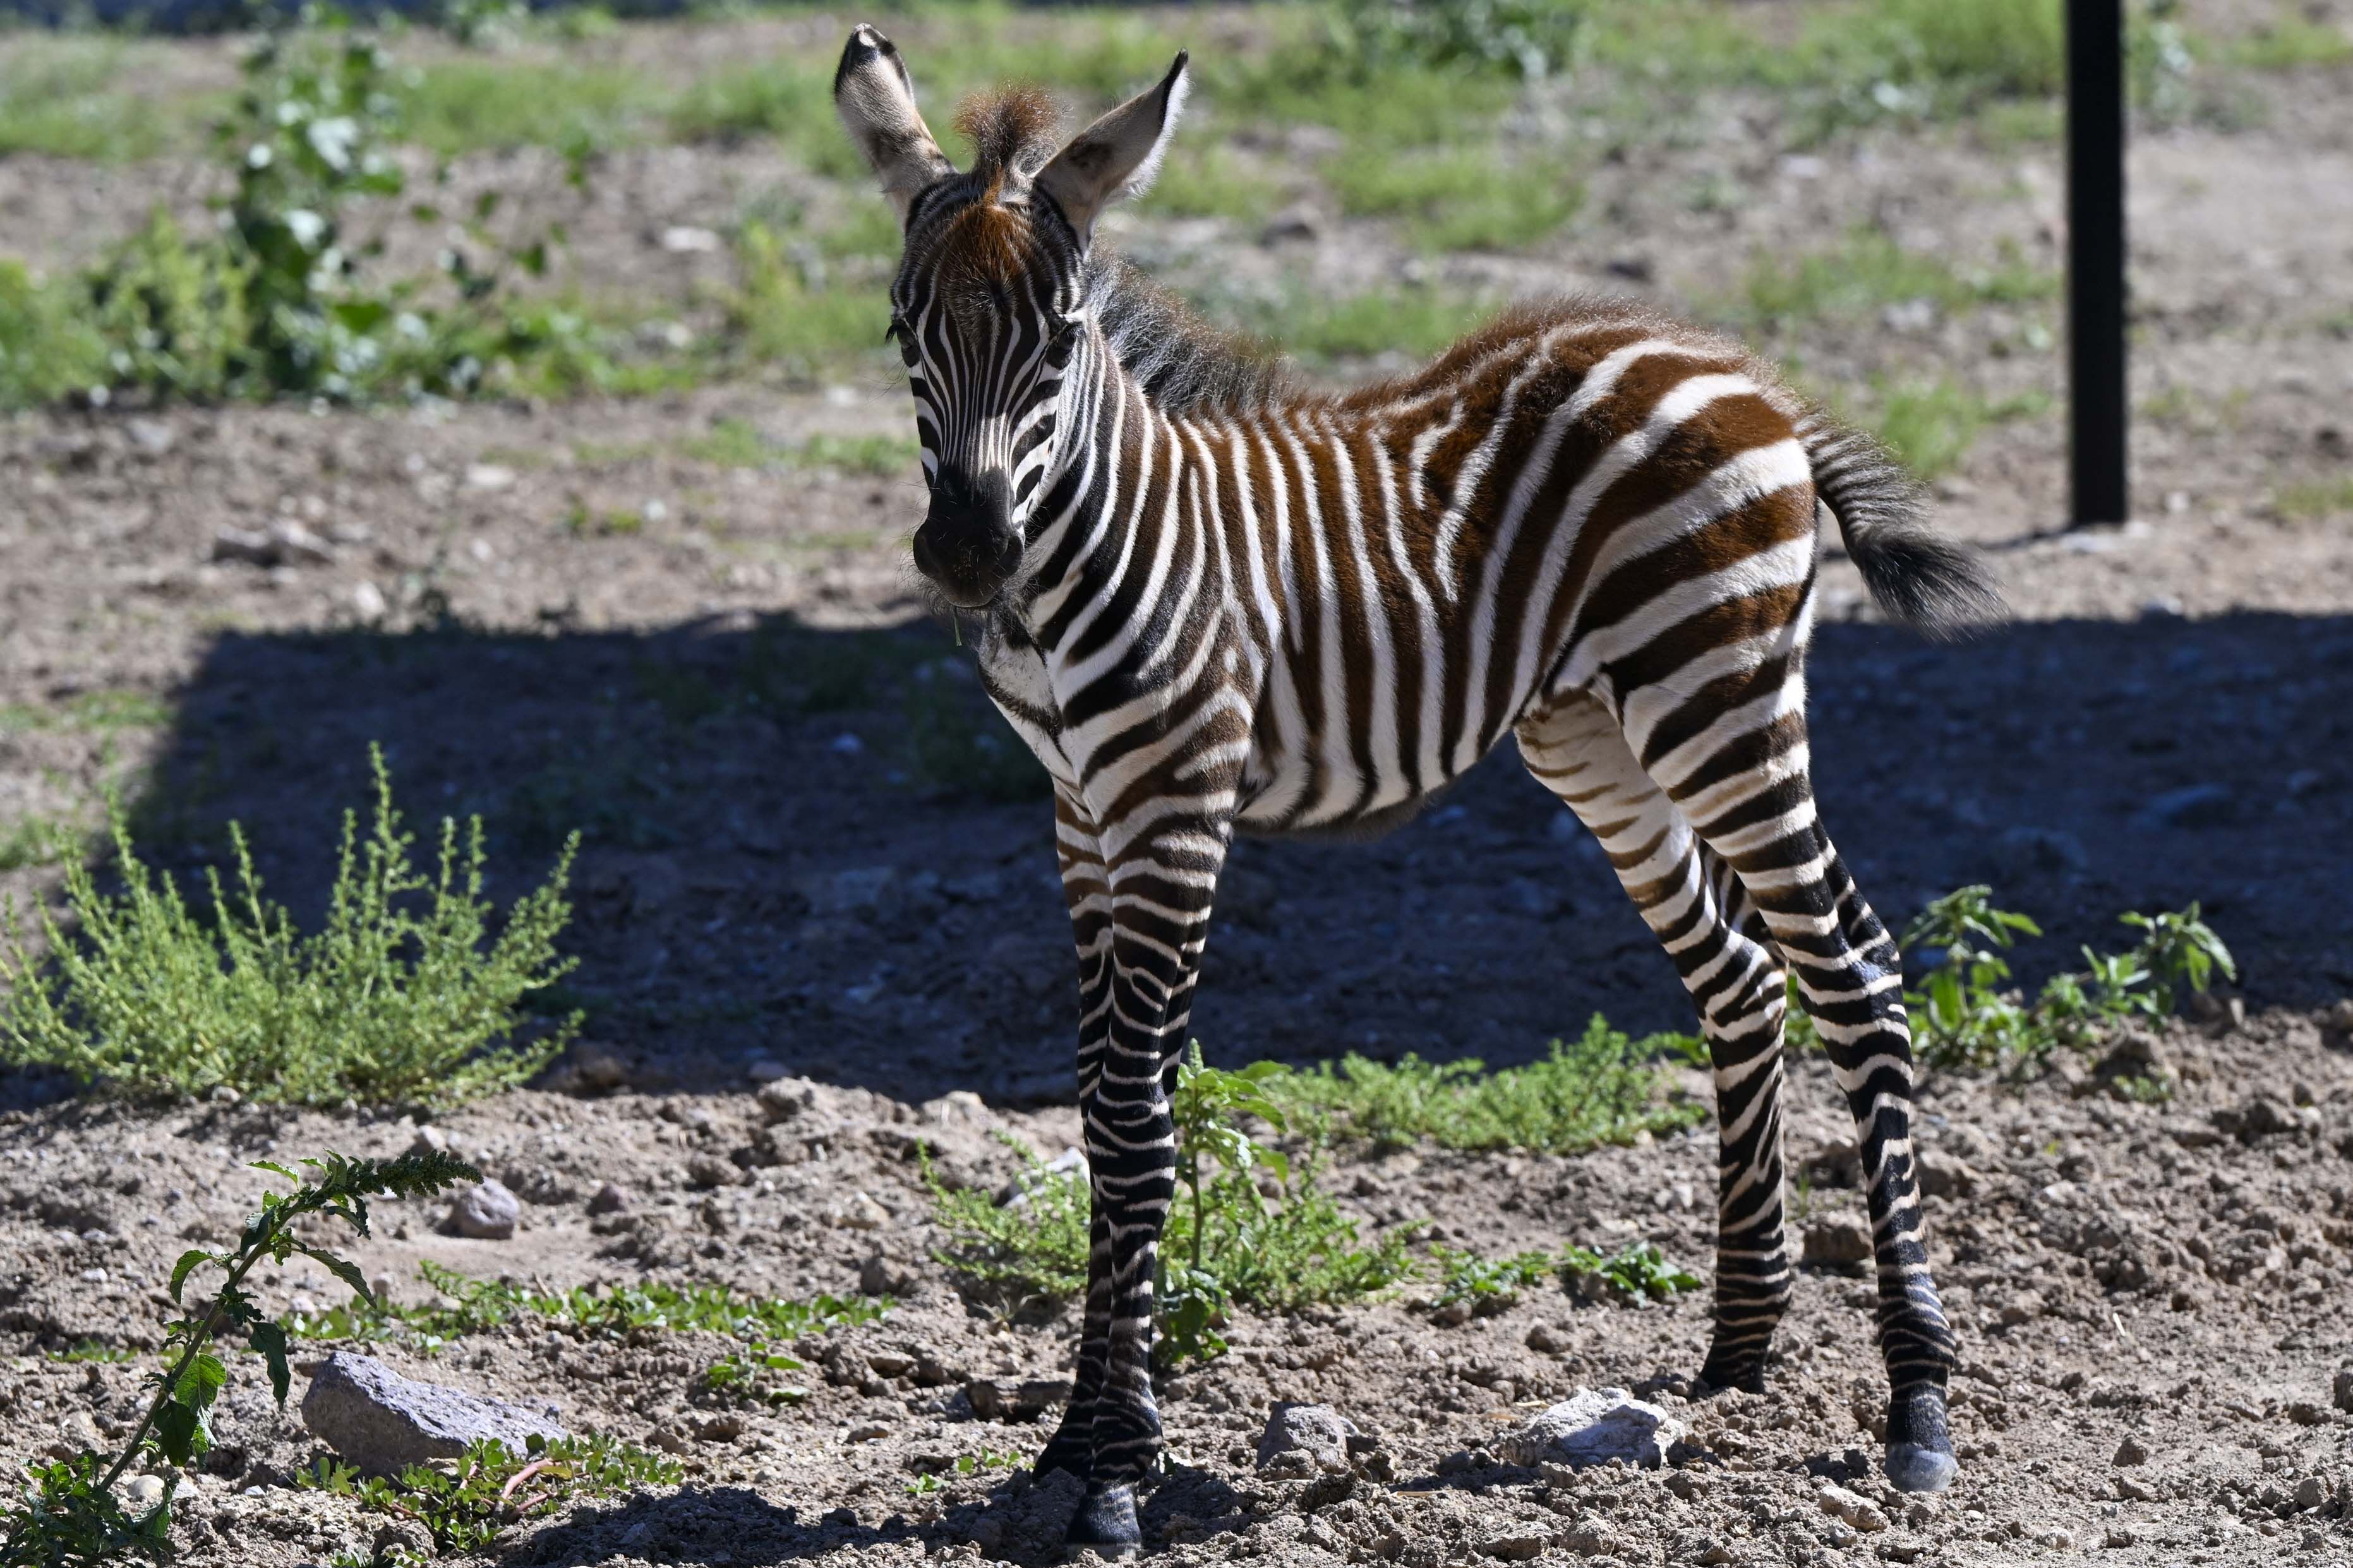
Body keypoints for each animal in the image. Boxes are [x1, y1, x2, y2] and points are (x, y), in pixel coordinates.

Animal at [834, 27, 2002, 1559]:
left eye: (1062, 340)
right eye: (906, 332)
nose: (968, 552)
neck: (1094, 543)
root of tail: (1739, 370)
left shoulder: (1173, 802)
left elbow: (1136, 1122)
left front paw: (1118, 1472)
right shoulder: (1079, 815)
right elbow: (1092, 1106)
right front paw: (1067, 1441)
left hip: (1720, 698)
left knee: (1853, 968)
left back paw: (1916, 1404)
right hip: (1591, 730)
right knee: (1741, 971)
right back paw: (1737, 1349)